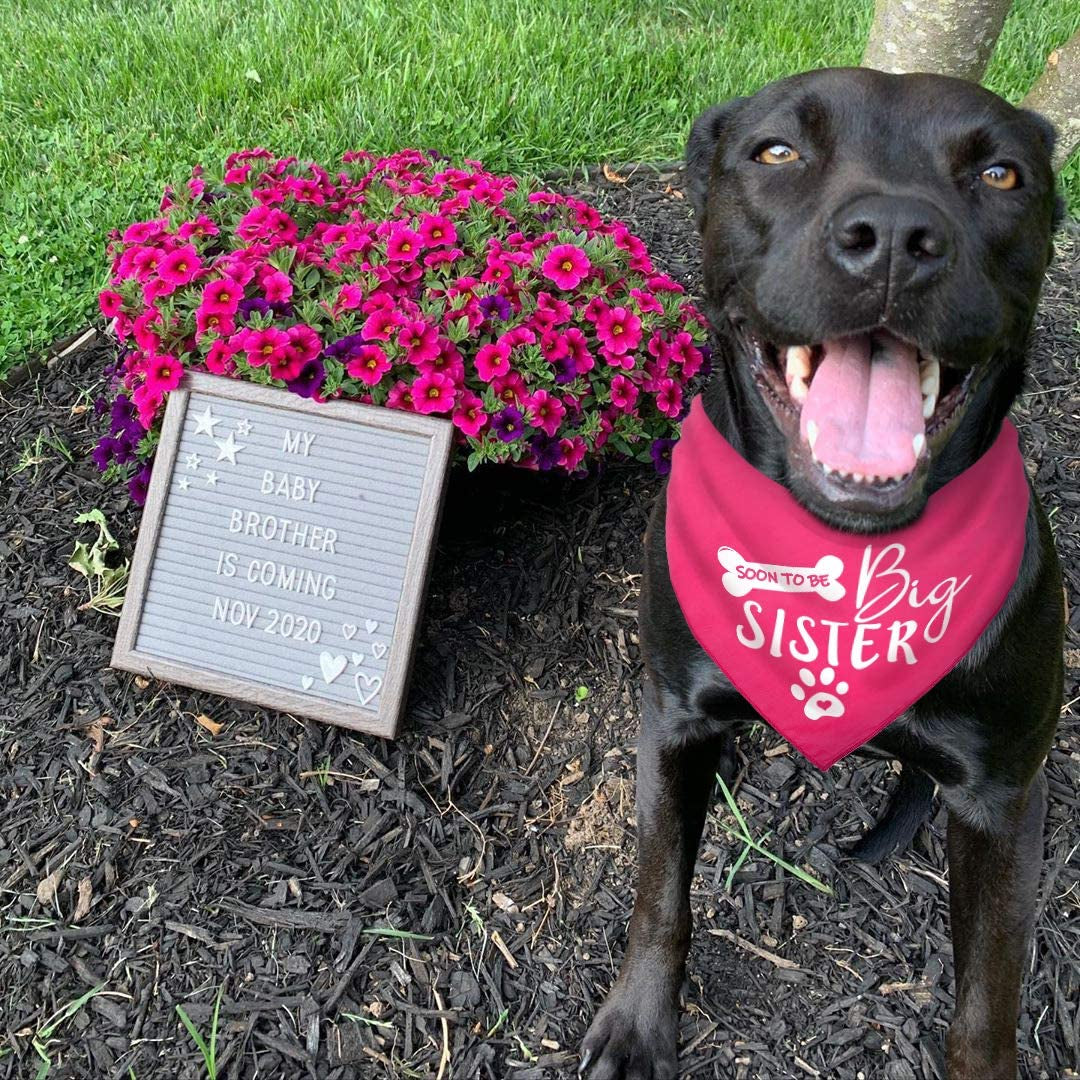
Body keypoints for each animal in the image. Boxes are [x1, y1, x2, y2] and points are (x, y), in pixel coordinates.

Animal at [583, 69, 1062, 1080]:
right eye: (777, 152)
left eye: (1001, 172)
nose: (894, 235)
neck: (844, 555)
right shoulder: (671, 716)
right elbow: (659, 891)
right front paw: (639, 1025)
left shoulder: (1005, 800)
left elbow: (987, 1001)